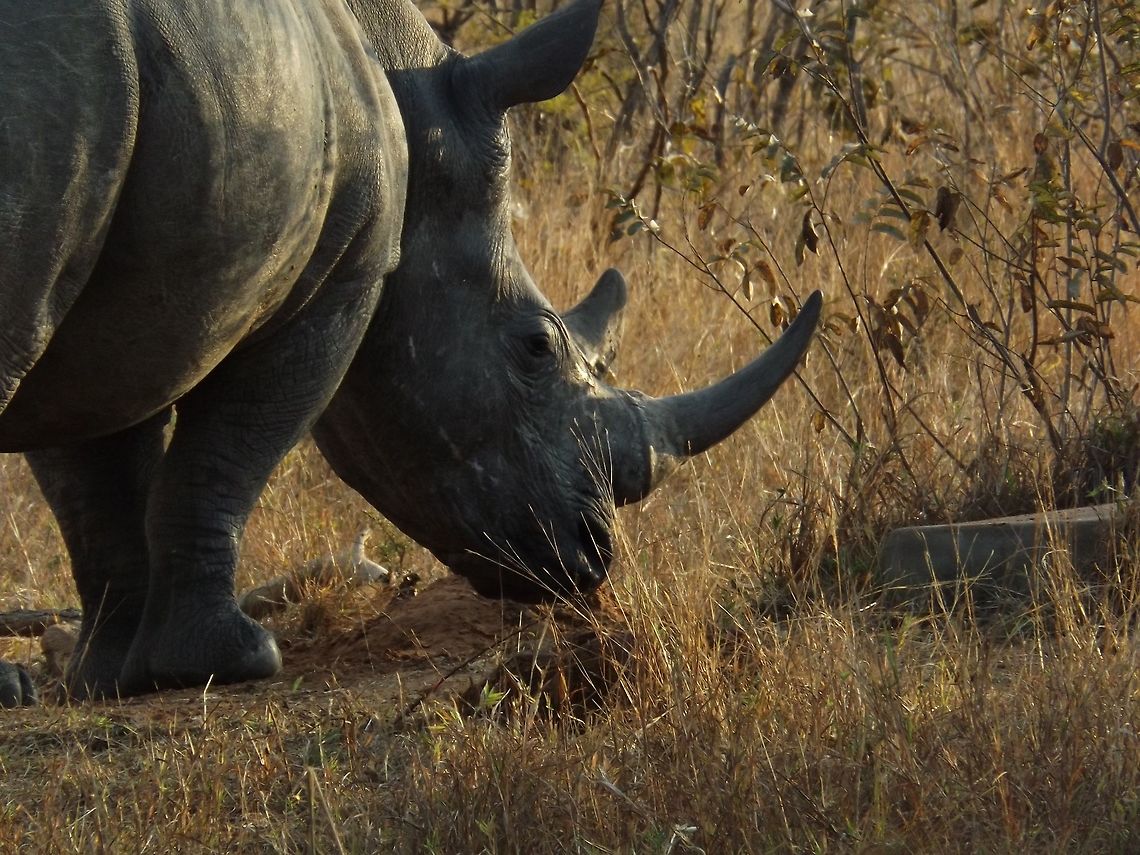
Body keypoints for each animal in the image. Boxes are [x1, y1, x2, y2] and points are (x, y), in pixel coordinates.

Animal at [0, 0, 820, 701]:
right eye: (535, 347)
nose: (593, 557)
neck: (415, 101)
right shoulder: (345, 278)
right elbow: (225, 454)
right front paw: (228, 661)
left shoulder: (122, 302)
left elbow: (98, 479)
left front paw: (115, 679)